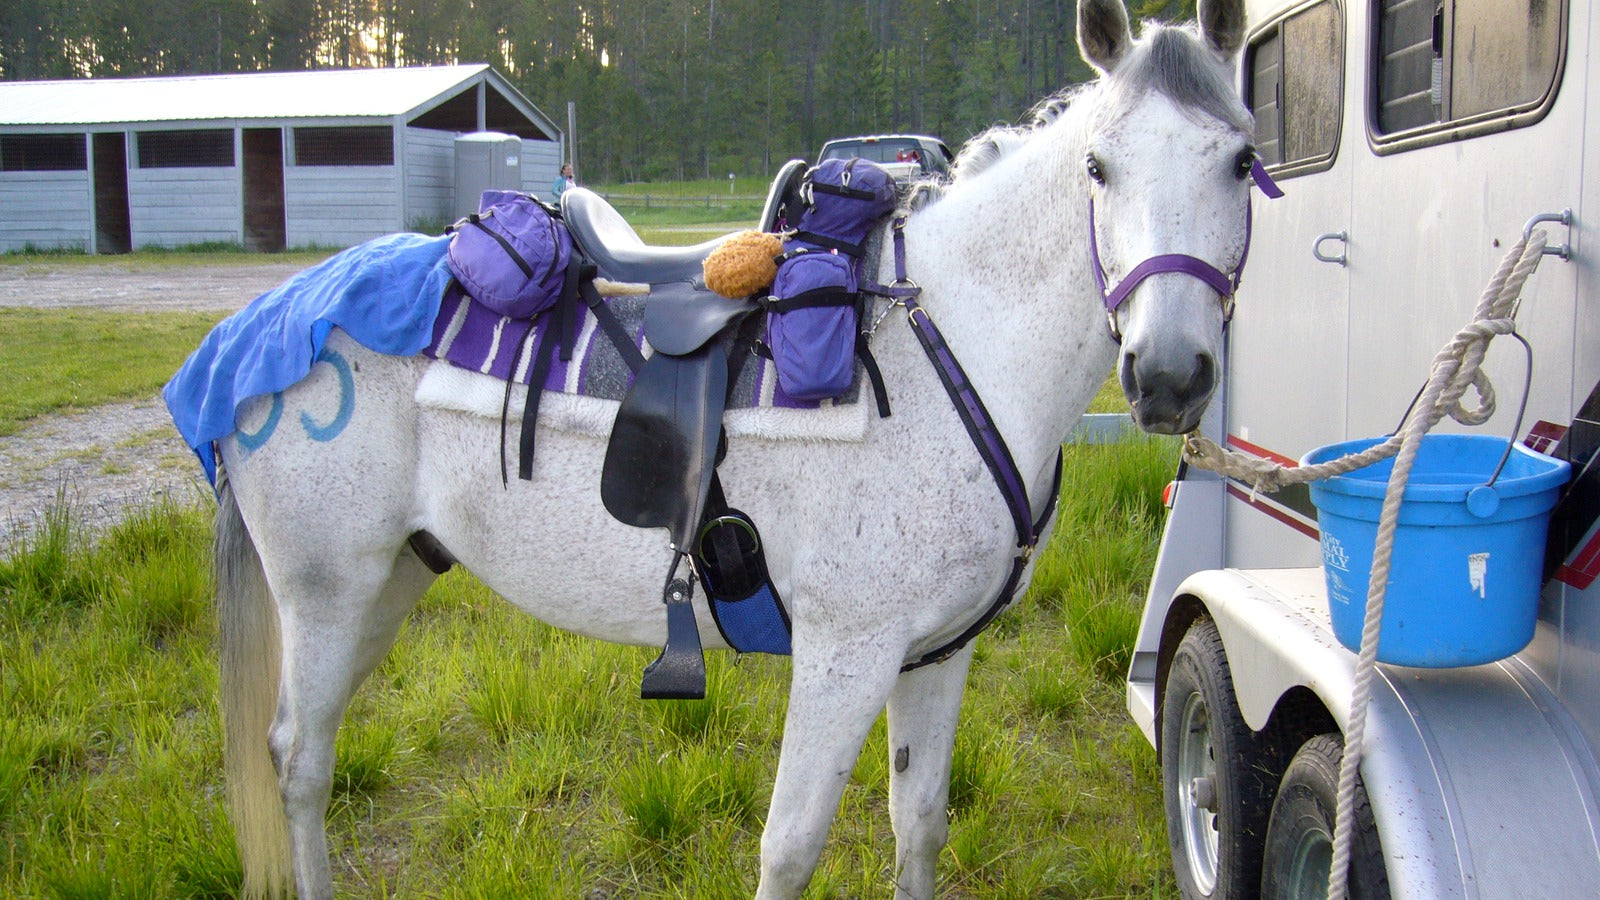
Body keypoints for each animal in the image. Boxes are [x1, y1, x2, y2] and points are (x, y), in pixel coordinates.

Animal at [210, 0, 1257, 895]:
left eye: (1243, 160)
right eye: (1098, 168)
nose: (1169, 376)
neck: (952, 343)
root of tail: (268, 319)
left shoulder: (934, 653)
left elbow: (917, 824)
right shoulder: (846, 653)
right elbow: (789, 849)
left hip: (387, 581)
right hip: (326, 588)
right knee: (300, 763)